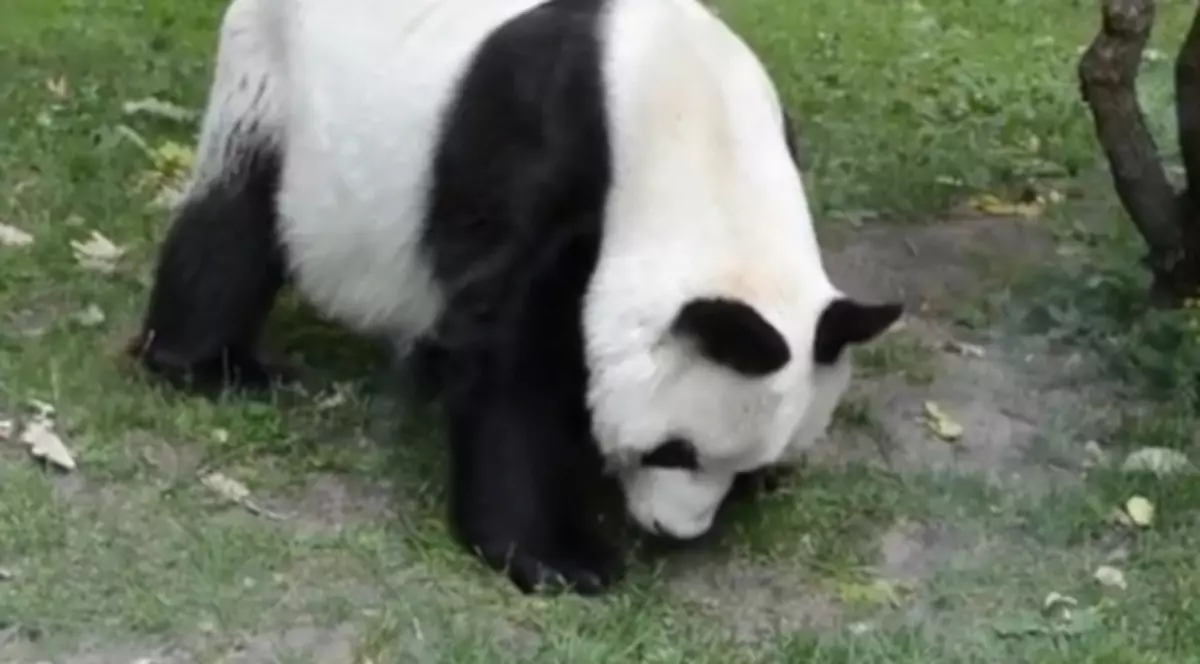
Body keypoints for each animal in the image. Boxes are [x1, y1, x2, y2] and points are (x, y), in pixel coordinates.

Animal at [127, 0, 903, 596]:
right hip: (276, 78)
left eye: (743, 464)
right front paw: (557, 557)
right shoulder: (542, 151)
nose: (673, 531)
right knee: (236, 217)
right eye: (674, 451)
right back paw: (213, 365)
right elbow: (510, 350)